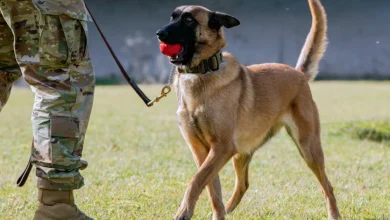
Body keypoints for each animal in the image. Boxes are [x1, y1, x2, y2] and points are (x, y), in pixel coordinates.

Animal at [156, 0, 342, 219]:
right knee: (243, 184)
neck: (202, 73)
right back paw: (227, 209)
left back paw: (334, 214)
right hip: (241, 153)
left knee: (327, 186)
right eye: (172, 17)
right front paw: (216, 213)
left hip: (308, 148)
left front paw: (184, 211)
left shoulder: (221, 147)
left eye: (188, 20)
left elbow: (196, 181)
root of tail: (299, 73)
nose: (159, 34)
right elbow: (211, 189)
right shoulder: (202, 151)